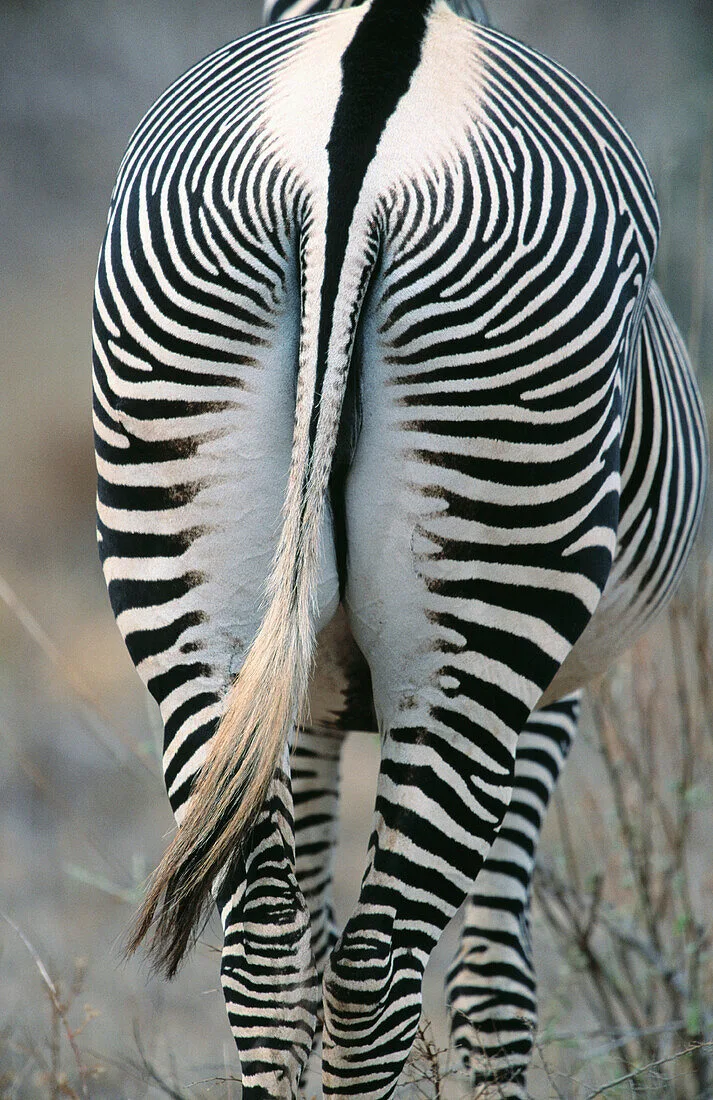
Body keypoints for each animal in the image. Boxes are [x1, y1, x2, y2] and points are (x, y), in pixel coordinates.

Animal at [91, 0, 708, 1096]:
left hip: (180, 551)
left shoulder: (300, 702)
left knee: (268, 951)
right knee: (378, 968)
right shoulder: (555, 693)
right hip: (493, 597)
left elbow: (303, 944)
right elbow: (496, 983)